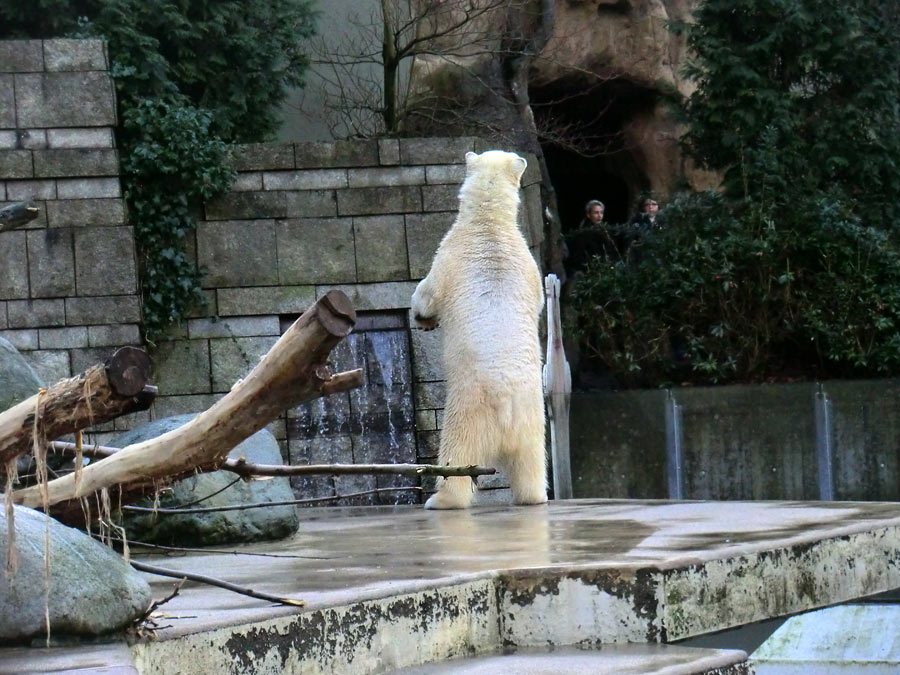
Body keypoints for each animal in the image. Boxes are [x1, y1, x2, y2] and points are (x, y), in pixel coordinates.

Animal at [410, 148, 548, 508]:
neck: (490, 225)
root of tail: (507, 412)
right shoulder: (531, 267)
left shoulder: (449, 255)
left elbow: (428, 292)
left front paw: (422, 316)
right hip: (534, 418)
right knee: (531, 461)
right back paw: (534, 496)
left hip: (466, 411)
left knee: (455, 457)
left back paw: (440, 499)